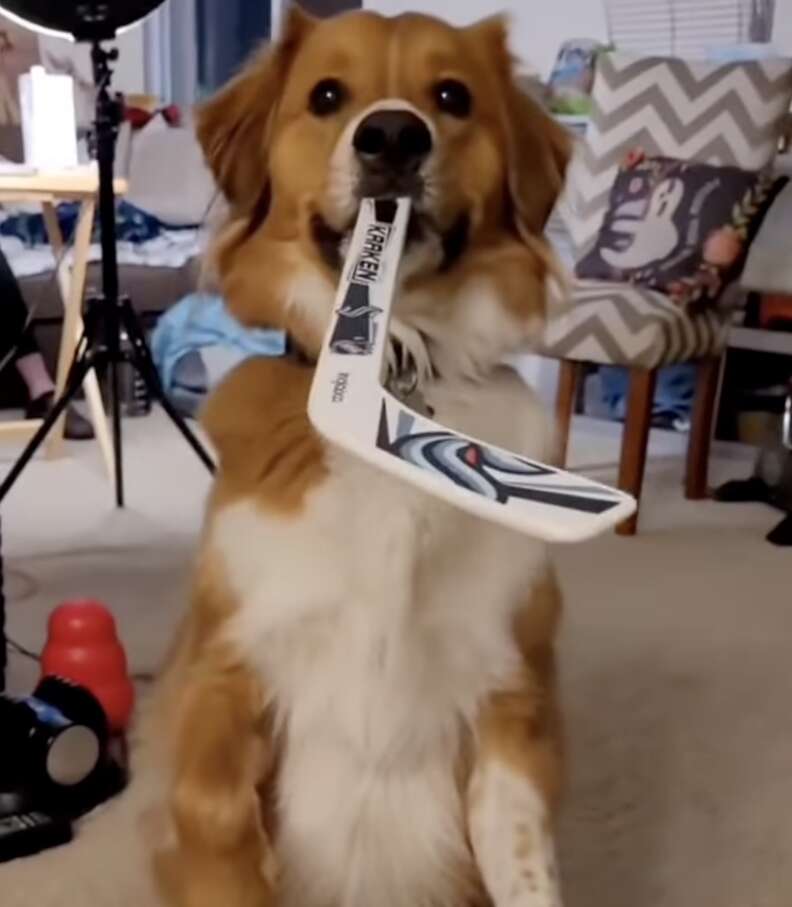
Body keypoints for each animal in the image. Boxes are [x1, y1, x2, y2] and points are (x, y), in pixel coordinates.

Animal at [142, 7, 572, 907]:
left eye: (453, 97)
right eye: (328, 97)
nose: (393, 136)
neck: (390, 380)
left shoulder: (511, 696)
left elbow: (525, 865)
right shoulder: (225, 677)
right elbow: (219, 832)